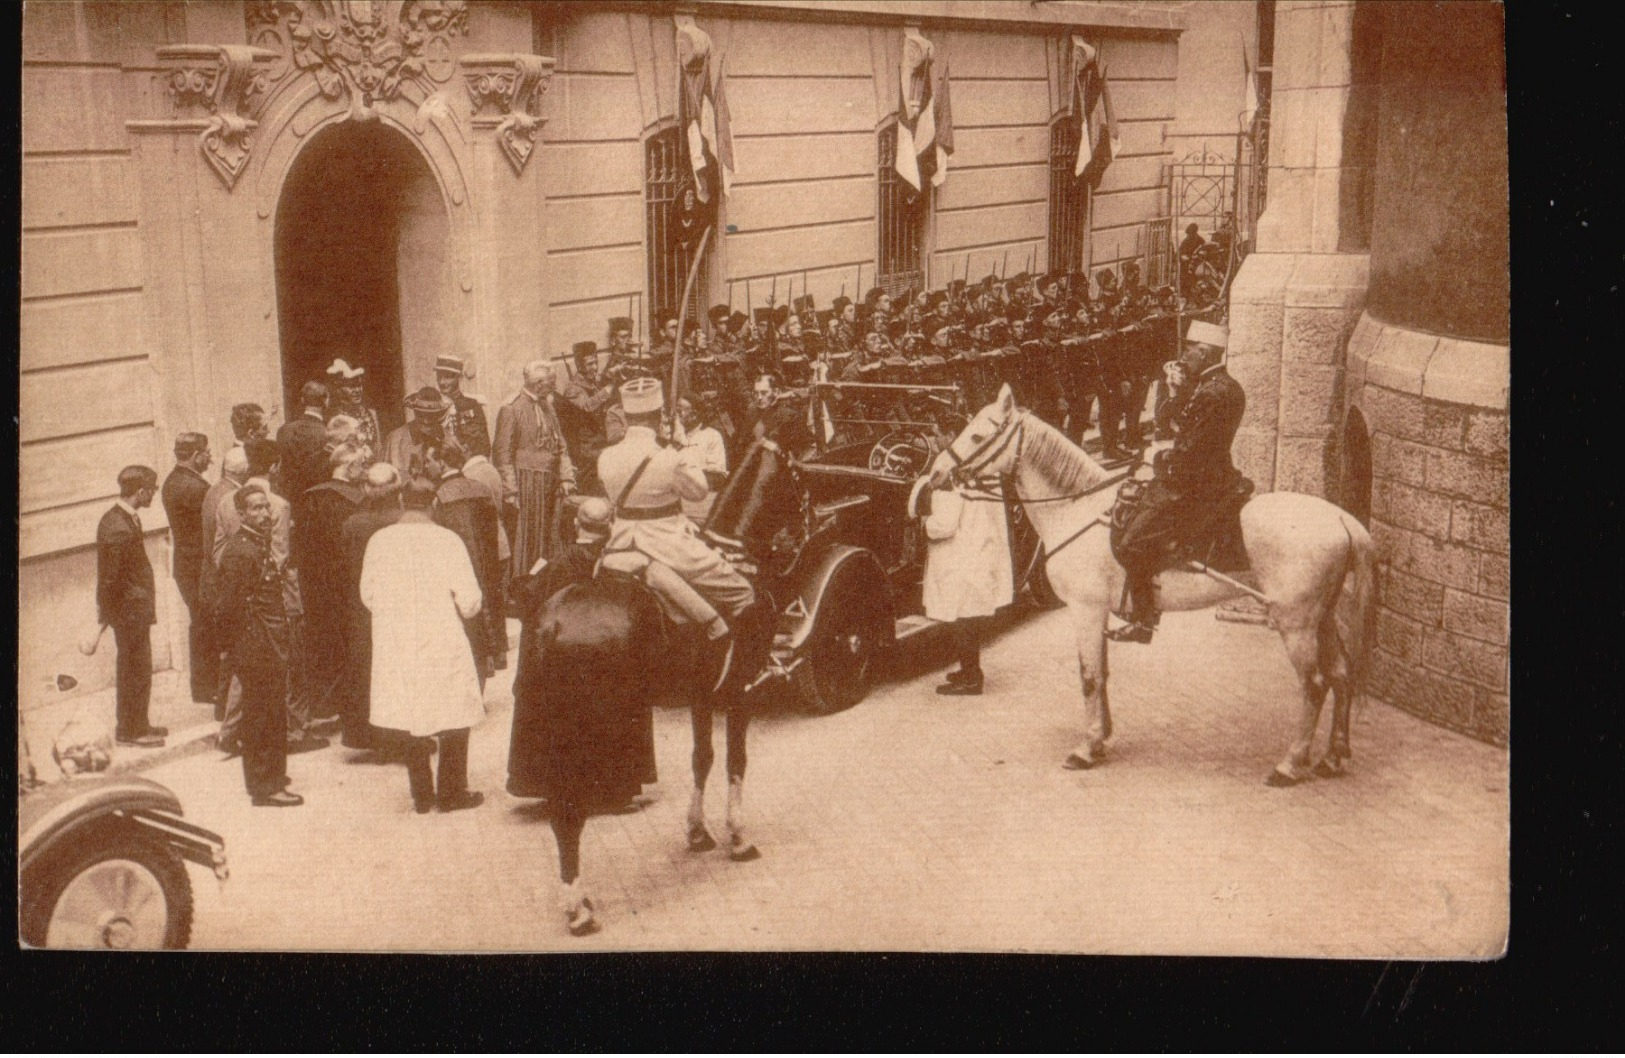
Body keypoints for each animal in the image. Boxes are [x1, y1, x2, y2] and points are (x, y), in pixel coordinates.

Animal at [500, 445, 793, 936]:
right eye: (802, 479)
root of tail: (554, 624)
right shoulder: (739, 692)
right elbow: (736, 762)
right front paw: (737, 836)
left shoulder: (702, 695)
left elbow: (702, 758)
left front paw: (698, 832)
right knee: (568, 814)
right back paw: (578, 910)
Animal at [936, 385, 1378, 783]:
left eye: (977, 435)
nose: (938, 472)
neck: (1077, 507)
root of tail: (1344, 519)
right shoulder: (1100, 613)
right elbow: (1103, 673)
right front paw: (1102, 738)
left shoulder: (1085, 610)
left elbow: (1089, 677)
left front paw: (1086, 748)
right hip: (1323, 617)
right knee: (1341, 674)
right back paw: (1333, 756)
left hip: (1295, 622)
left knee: (1314, 685)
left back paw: (1289, 764)